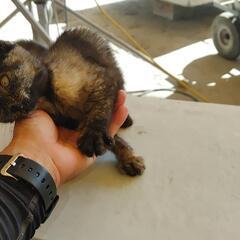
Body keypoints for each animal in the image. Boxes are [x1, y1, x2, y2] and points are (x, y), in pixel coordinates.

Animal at [0, 27, 145, 176]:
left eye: (4, 81)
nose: (14, 107)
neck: (50, 100)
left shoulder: (100, 79)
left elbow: (100, 109)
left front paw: (94, 136)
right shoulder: (69, 121)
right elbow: (114, 138)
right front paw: (128, 158)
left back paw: (127, 120)